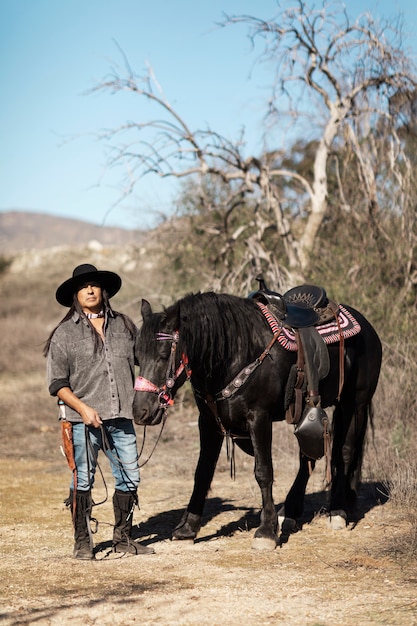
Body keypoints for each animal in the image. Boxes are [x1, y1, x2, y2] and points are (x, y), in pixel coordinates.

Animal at [132, 288, 380, 544]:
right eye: (136, 356)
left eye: (163, 355)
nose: (141, 411)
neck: (234, 353)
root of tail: (366, 326)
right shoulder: (208, 422)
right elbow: (202, 472)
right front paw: (188, 528)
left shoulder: (259, 418)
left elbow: (263, 472)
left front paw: (267, 531)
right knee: (308, 458)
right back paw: (291, 512)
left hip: (355, 404)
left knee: (346, 452)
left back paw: (337, 510)